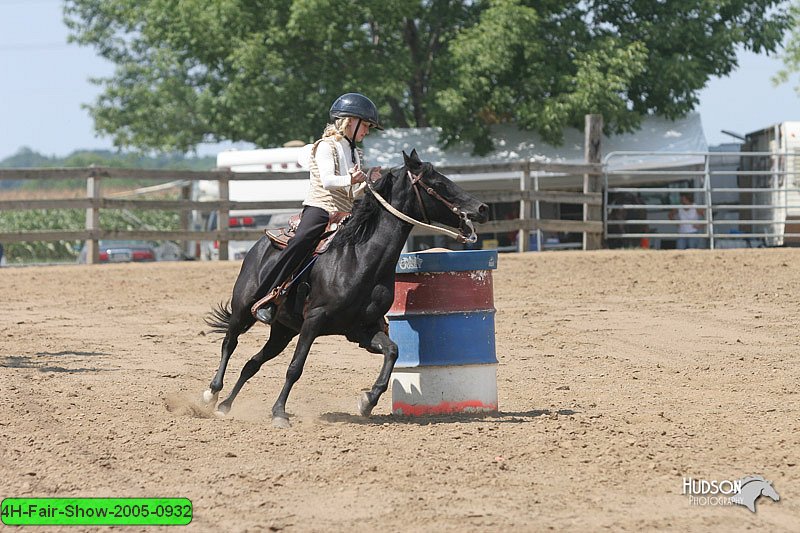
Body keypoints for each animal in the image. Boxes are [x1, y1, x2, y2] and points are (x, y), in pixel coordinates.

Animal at [203, 148, 488, 426]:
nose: (482, 207)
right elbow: (295, 367)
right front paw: (279, 412)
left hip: (283, 331)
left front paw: (368, 401)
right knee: (229, 342)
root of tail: (260, 244)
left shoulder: (361, 329)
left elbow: (392, 351)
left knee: (252, 363)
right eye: (438, 183)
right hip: (244, 308)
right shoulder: (314, 320)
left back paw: (225, 406)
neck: (360, 258)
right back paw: (212, 393)